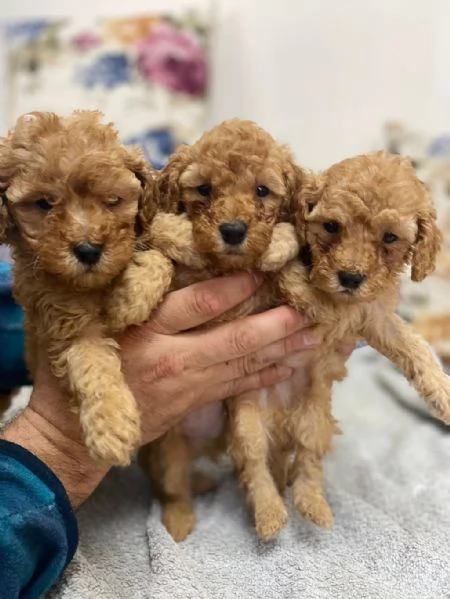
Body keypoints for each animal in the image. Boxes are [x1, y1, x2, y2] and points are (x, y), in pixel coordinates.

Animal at [0, 112, 172, 468]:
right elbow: (90, 360)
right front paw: (113, 426)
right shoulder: (62, 320)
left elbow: (159, 258)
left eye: (112, 201)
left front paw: (131, 299)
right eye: (44, 204)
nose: (89, 250)